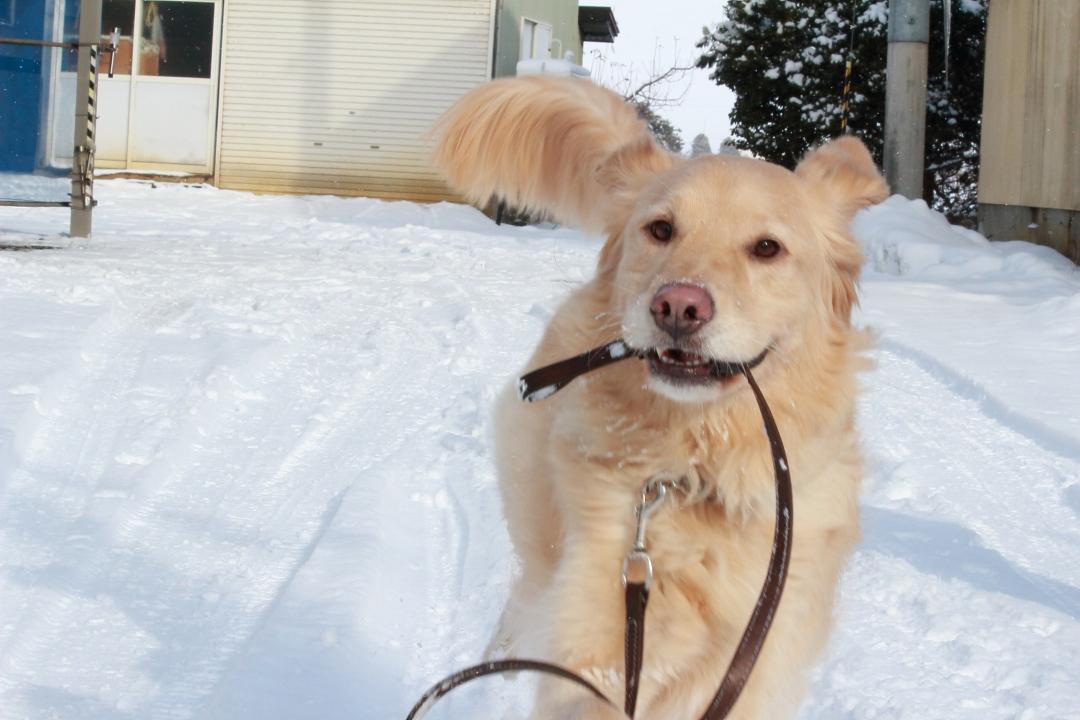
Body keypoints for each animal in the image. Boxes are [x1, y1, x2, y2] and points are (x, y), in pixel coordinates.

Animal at [429, 76, 885, 716]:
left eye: (767, 248)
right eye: (661, 229)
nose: (678, 306)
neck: (697, 471)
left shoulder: (754, 658)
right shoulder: (598, 645)